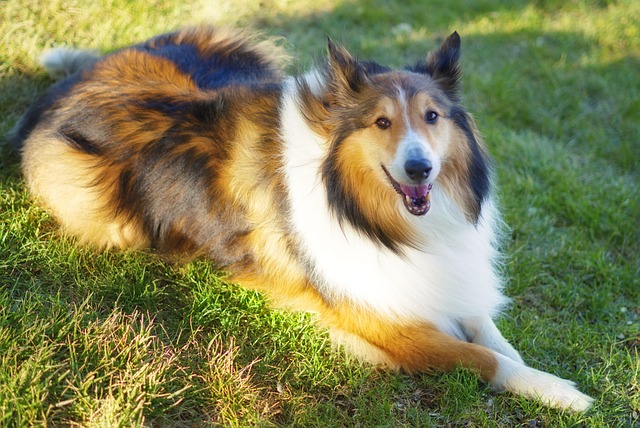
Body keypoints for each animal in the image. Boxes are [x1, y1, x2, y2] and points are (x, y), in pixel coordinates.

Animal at [11, 25, 592, 412]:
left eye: (432, 116)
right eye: (381, 122)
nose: (419, 168)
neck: (371, 214)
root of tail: (75, 82)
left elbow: (492, 333)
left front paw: (532, 365)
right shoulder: (383, 320)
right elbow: (481, 358)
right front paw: (563, 393)